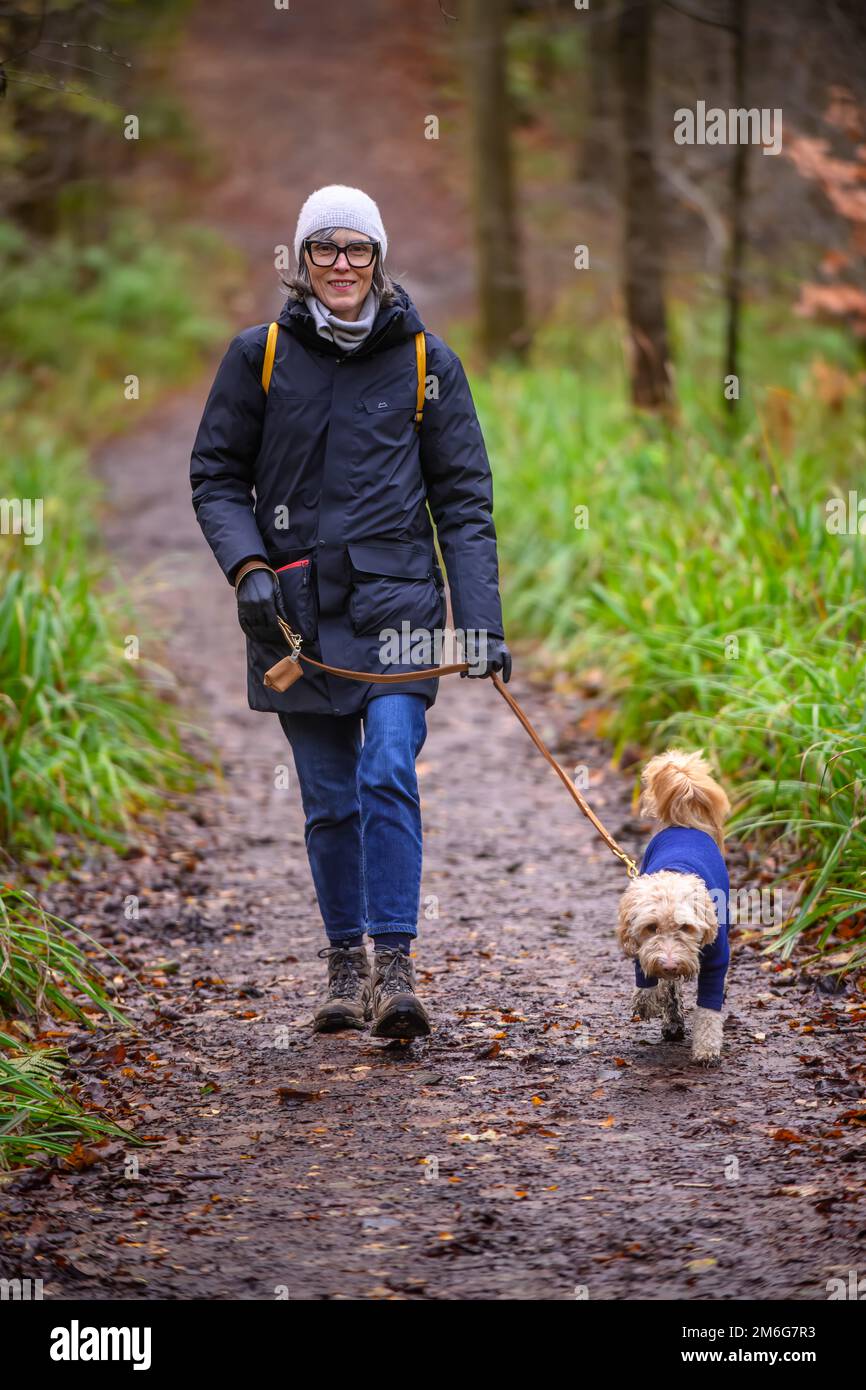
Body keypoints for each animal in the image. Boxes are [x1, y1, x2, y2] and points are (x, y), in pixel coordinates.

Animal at [617, 750, 733, 1061]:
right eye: (651, 927)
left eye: (686, 927)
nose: (669, 964)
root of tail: (684, 825)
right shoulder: (641, 944)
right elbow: (645, 974)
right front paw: (646, 1000)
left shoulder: (717, 958)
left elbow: (708, 1010)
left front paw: (706, 1047)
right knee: (671, 988)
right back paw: (672, 1020)